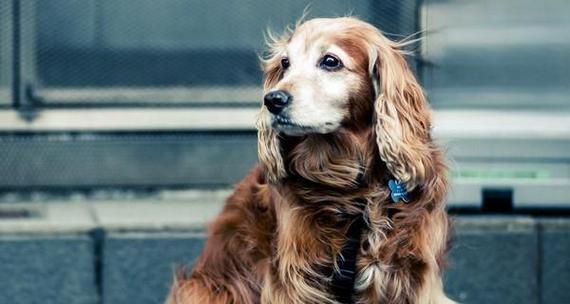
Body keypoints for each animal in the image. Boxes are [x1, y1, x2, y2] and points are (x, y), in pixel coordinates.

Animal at [166, 17, 454, 304]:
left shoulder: (413, 273)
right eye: (285, 63)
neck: (354, 189)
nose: (273, 99)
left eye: (330, 61)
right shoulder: (295, 278)